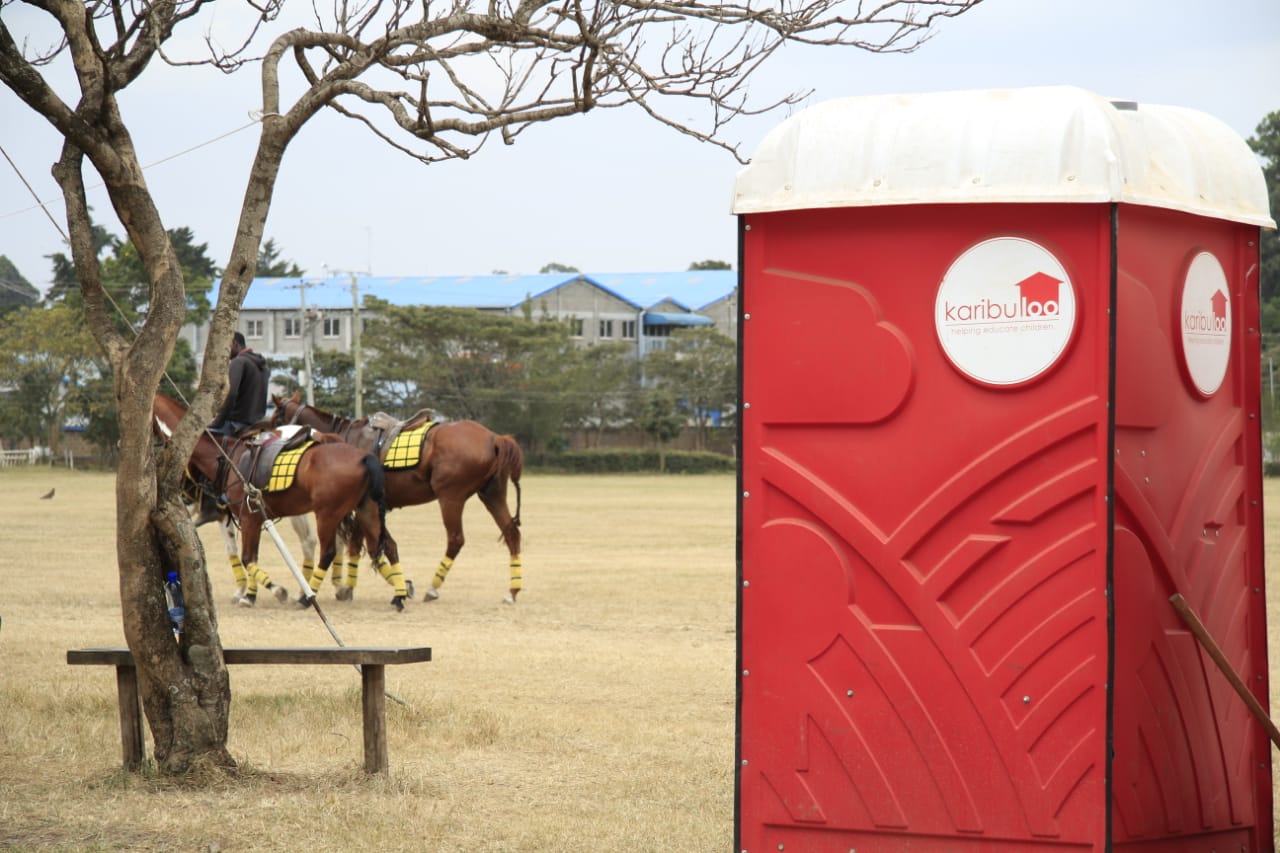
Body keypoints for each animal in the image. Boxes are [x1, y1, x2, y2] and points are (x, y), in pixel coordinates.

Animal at [154, 394, 404, 607]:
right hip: (366, 510)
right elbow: (249, 557)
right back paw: (398, 594)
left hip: (327, 513)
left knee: (328, 551)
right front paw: (250, 594)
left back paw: (308, 596)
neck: (227, 458)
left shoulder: (247, 518)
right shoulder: (248, 519)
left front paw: (268, 592)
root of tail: (364, 457)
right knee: (384, 545)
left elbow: (246, 557)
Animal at [271, 391, 524, 604]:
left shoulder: (359, 507)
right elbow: (363, 544)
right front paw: (353, 587)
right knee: (511, 532)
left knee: (455, 539)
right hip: (492, 494)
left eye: (275, 418)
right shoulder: (362, 507)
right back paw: (512, 592)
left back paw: (433, 588)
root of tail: (494, 438)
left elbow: (368, 544)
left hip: (451, 497)